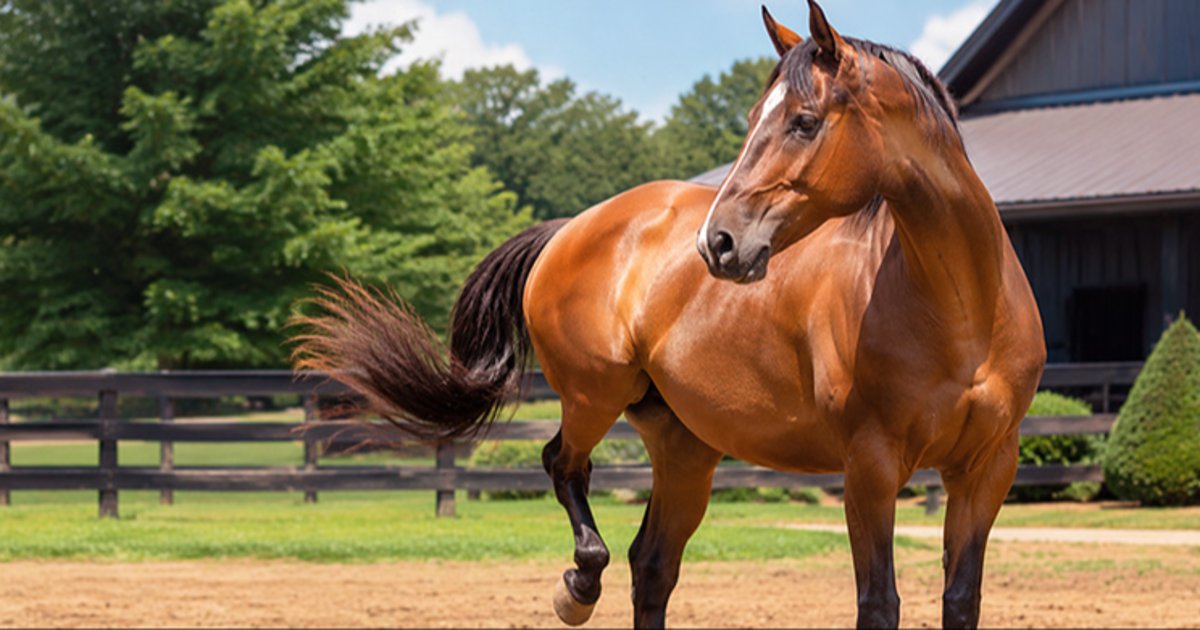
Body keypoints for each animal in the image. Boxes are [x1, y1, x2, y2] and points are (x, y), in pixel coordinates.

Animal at [291, 2, 1046, 627]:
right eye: (753, 119)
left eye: (804, 122)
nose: (720, 242)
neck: (958, 312)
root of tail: (574, 227)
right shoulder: (870, 467)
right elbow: (878, 603)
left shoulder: (986, 470)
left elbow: (961, 600)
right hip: (594, 397)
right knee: (565, 468)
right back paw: (577, 587)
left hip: (684, 448)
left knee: (652, 567)